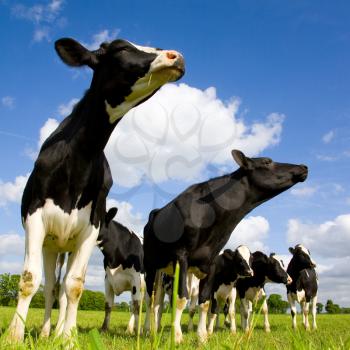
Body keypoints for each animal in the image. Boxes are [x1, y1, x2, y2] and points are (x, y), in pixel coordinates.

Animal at [6, 37, 185, 342]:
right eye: (122, 48)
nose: (177, 56)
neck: (79, 156)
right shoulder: (35, 218)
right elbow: (31, 279)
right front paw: (14, 335)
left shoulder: (91, 228)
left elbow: (75, 285)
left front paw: (68, 337)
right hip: (53, 244)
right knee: (51, 287)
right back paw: (46, 331)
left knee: (65, 289)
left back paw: (59, 330)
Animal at [142, 149, 306, 344]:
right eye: (267, 162)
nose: (304, 167)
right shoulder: (181, 256)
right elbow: (181, 298)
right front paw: (177, 337)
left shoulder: (210, 263)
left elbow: (205, 302)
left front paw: (202, 337)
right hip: (151, 265)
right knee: (150, 298)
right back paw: (146, 331)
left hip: (164, 269)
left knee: (157, 301)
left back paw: (155, 330)